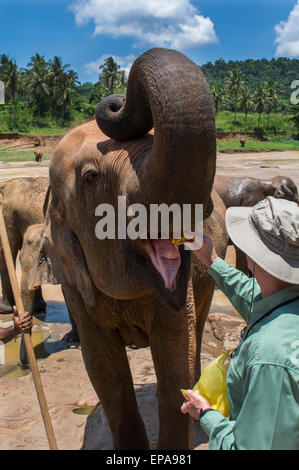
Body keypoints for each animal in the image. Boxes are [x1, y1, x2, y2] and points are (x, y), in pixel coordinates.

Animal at [29, 49, 229, 450]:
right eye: (91, 177)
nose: (115, 100)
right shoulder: (76, 286)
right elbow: (104, 370)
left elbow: (176, 361)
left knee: (197, 332)